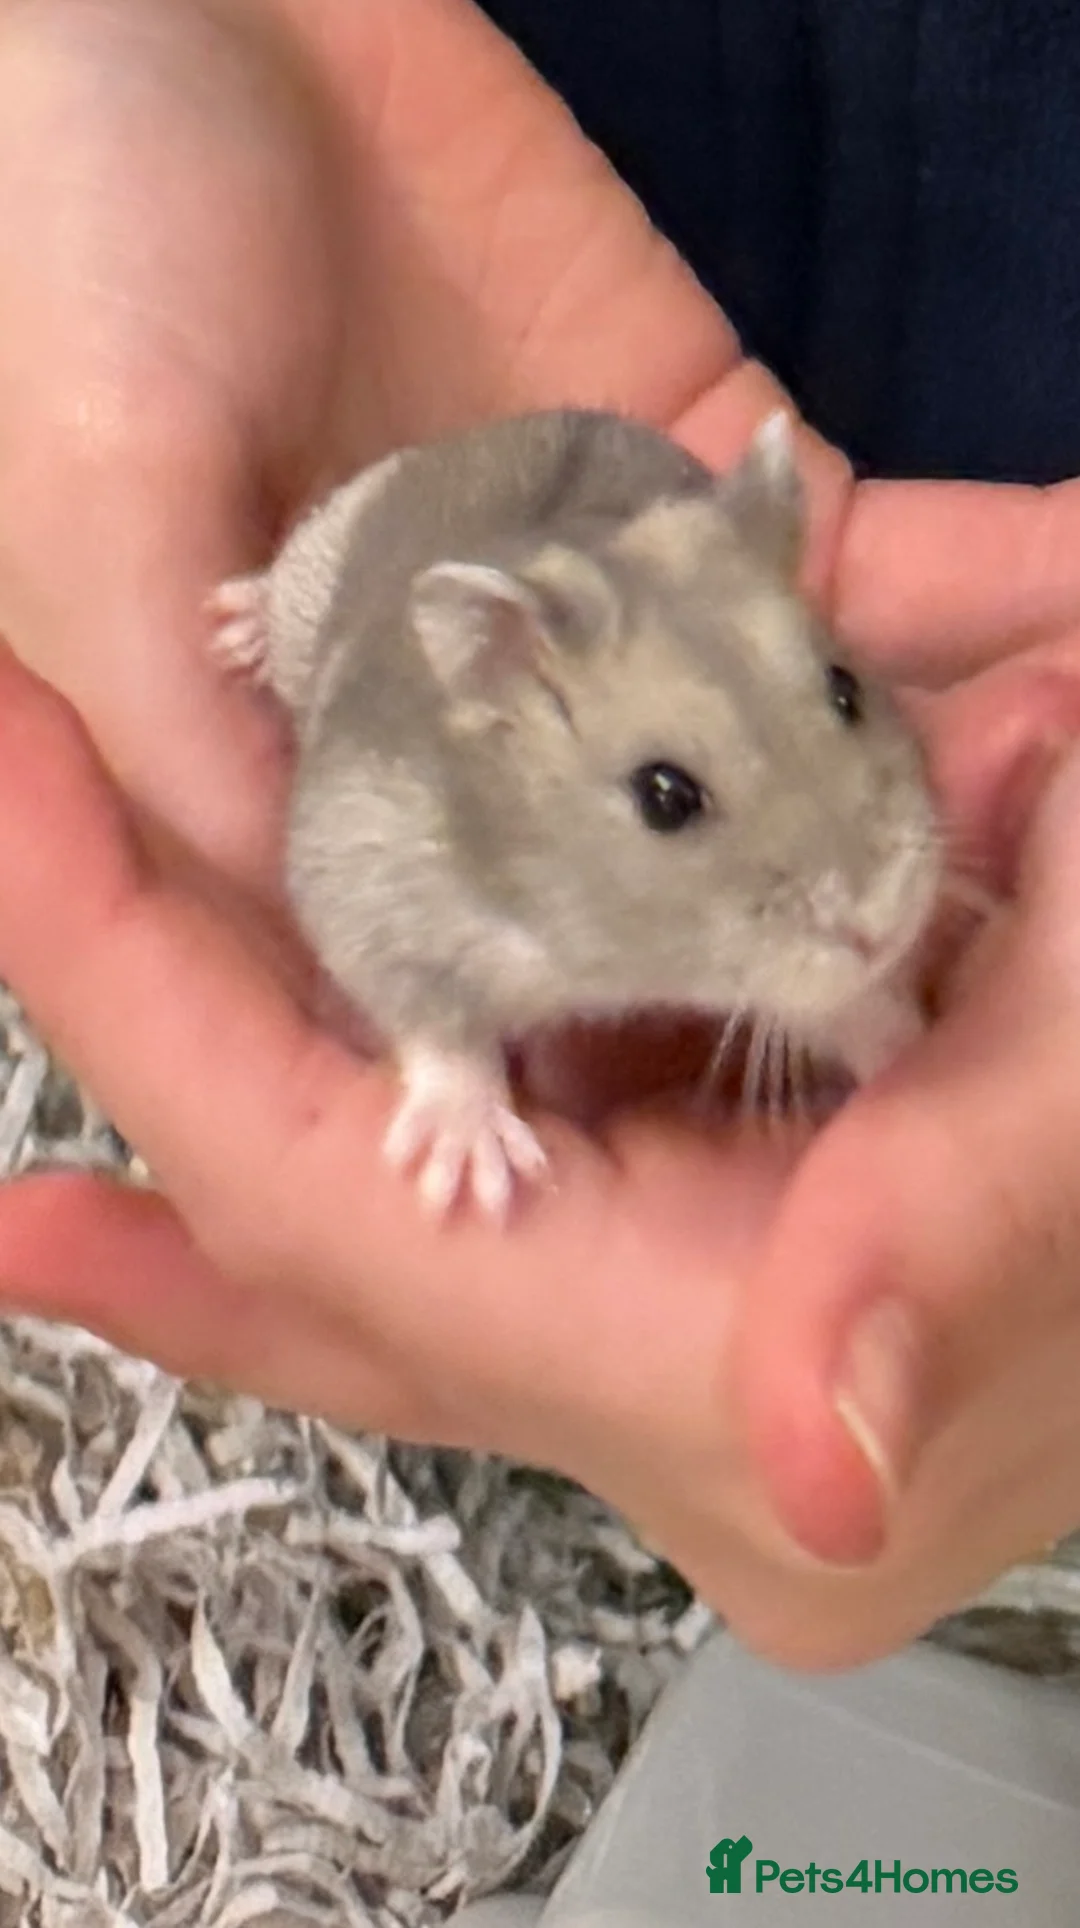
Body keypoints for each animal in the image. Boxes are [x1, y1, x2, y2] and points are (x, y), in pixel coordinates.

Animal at [207, 408, 942, 1220]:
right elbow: (435, 1018)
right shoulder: (368, 875)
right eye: (664, 796)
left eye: (847, 689)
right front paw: (474, 1171)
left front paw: (909, 1039)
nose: (883, 923)